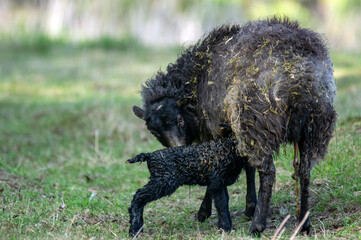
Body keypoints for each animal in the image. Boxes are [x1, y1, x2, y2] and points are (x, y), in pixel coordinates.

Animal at [132, 17, 338, 236]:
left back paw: (257, 225)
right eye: (153, 131)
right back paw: (303, 223)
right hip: (314, 125)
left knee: (268, 173)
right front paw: (249, 206)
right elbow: (248, 166)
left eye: (179, 120)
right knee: (304, 171)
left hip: (257, 120)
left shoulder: (216, 129)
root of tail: (297, 74)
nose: (177, 152)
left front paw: (205, 212)